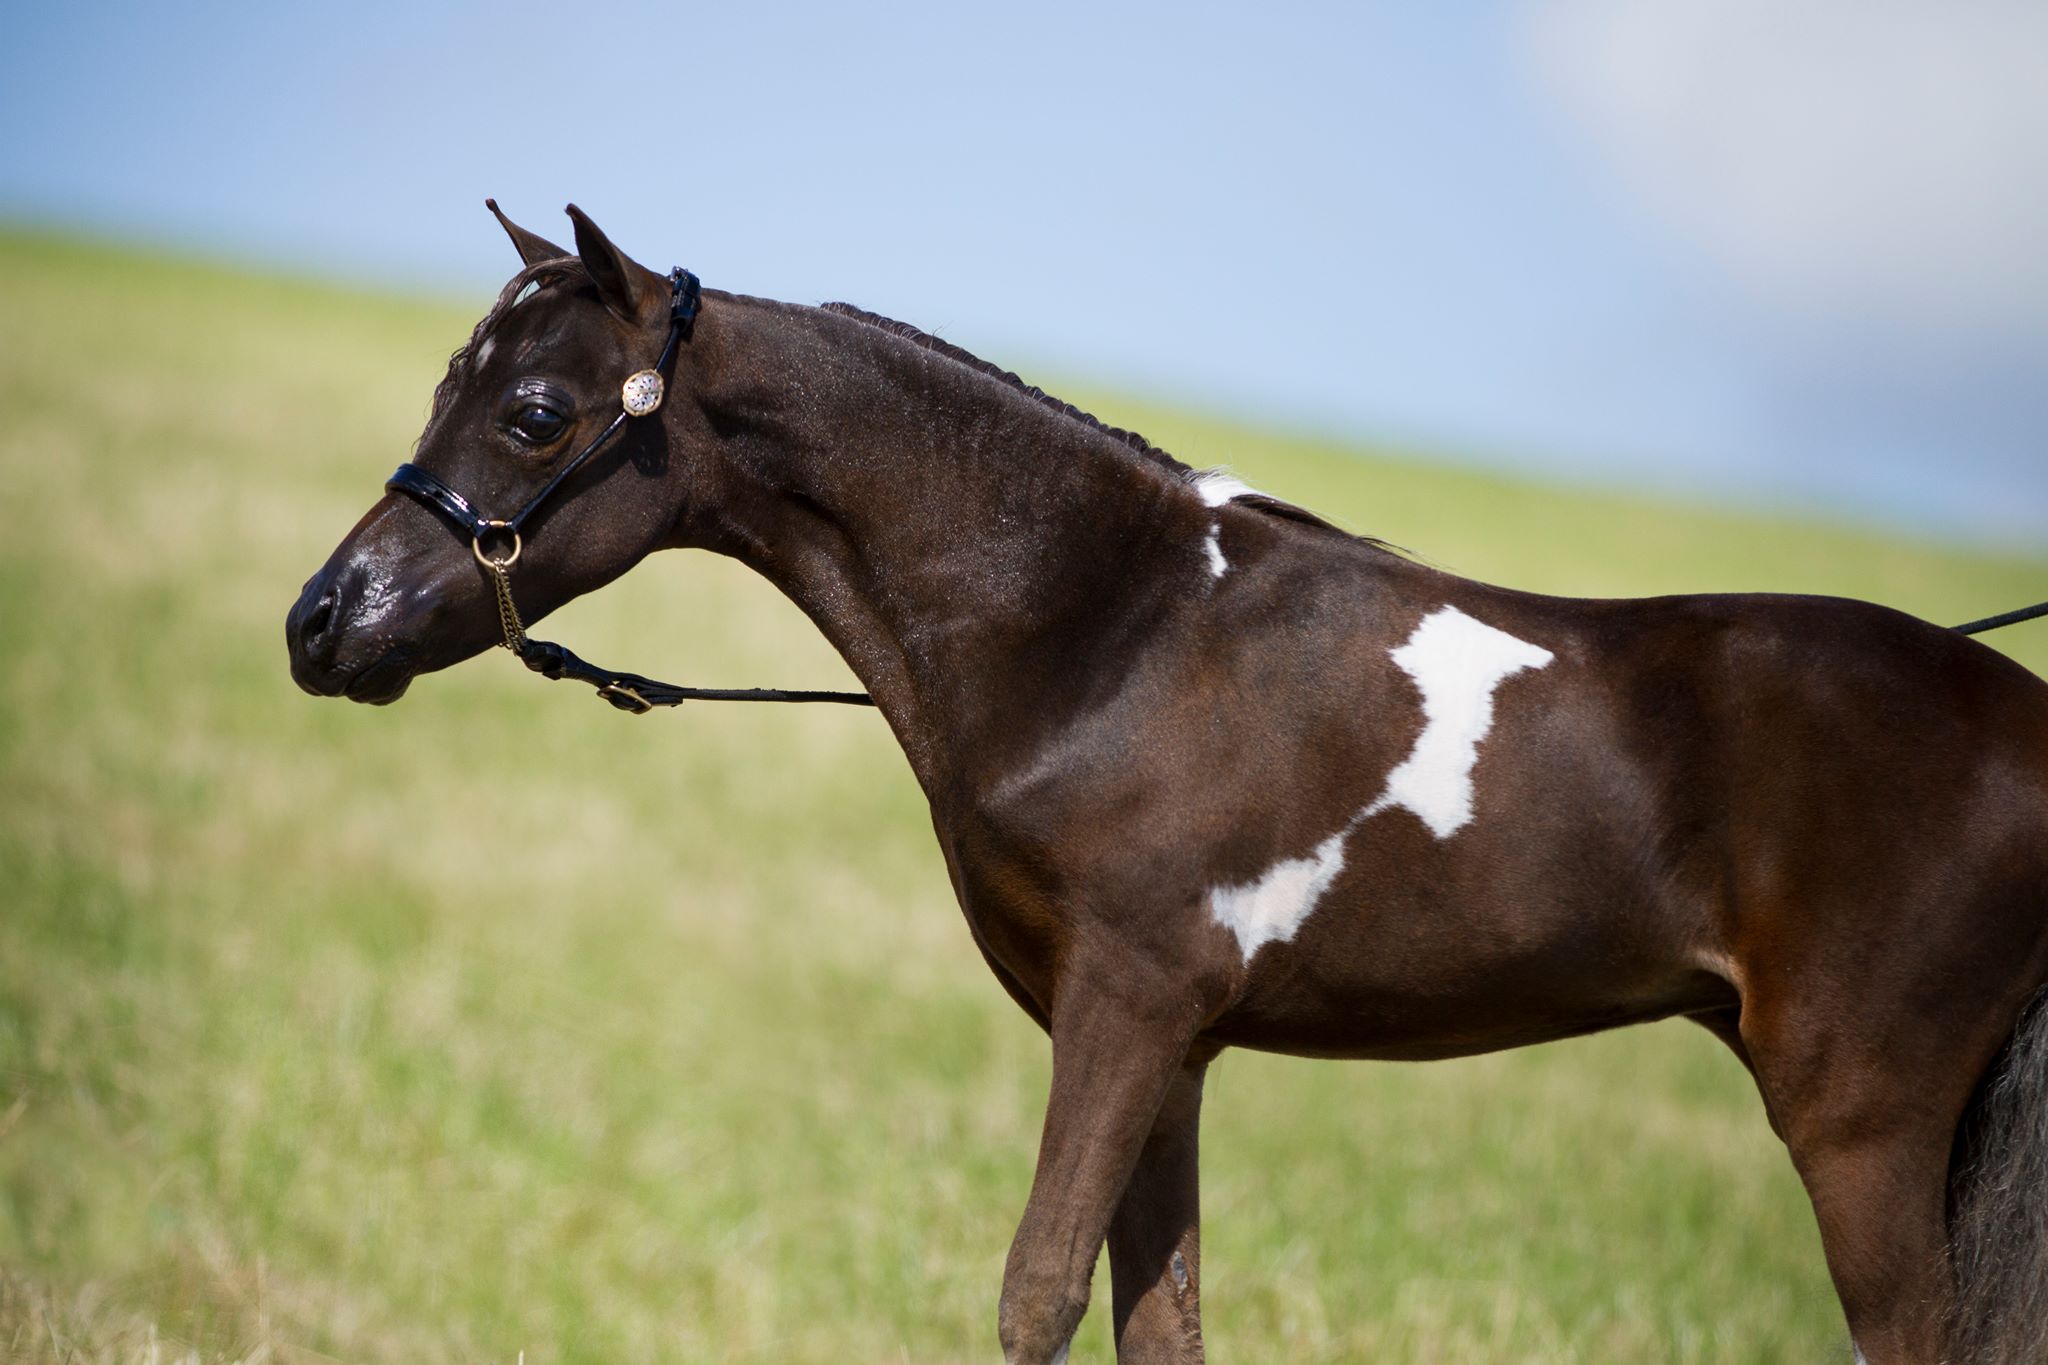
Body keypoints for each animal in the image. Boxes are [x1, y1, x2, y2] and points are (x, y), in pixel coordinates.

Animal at [286, 202, 2048, 1364]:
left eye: (535, 412)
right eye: (451, 385)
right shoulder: (1179, 1047)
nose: (323, 622)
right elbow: (1160, 1319)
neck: (1109, 630)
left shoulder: (1124, 1006)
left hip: (1862, 1122)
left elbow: (1037, 1293)